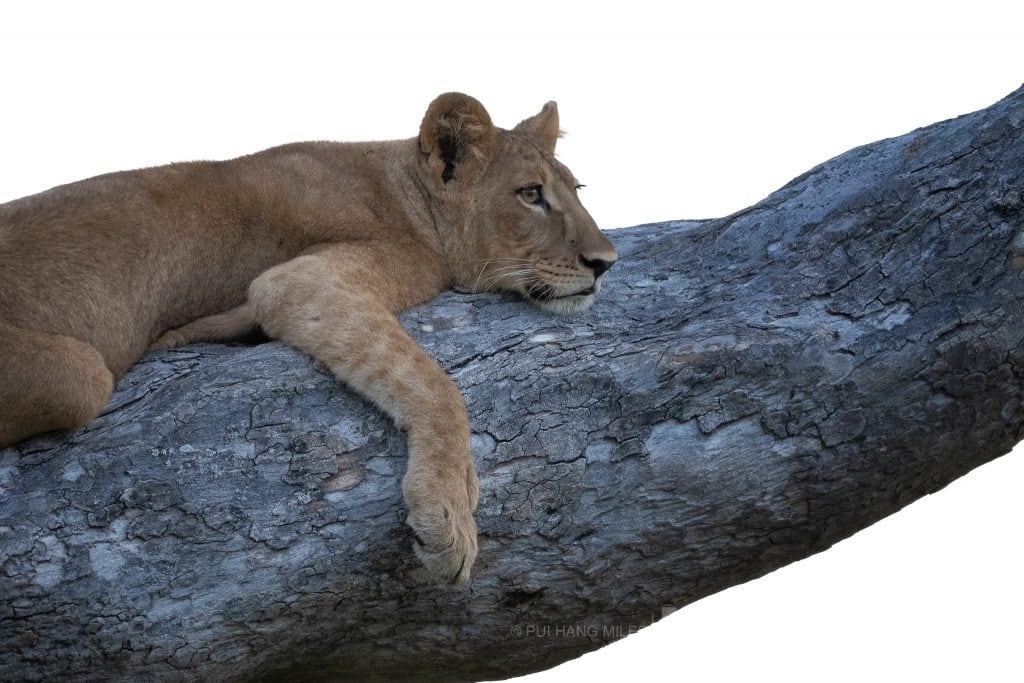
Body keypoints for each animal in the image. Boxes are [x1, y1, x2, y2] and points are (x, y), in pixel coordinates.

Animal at [0, 93, 617, 585]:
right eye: (531, 194)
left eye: (577, 189)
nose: (605, 263)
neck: (406, 191)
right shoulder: (297, 281)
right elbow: (436, 386)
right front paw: (450, 513)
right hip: (77, 374)